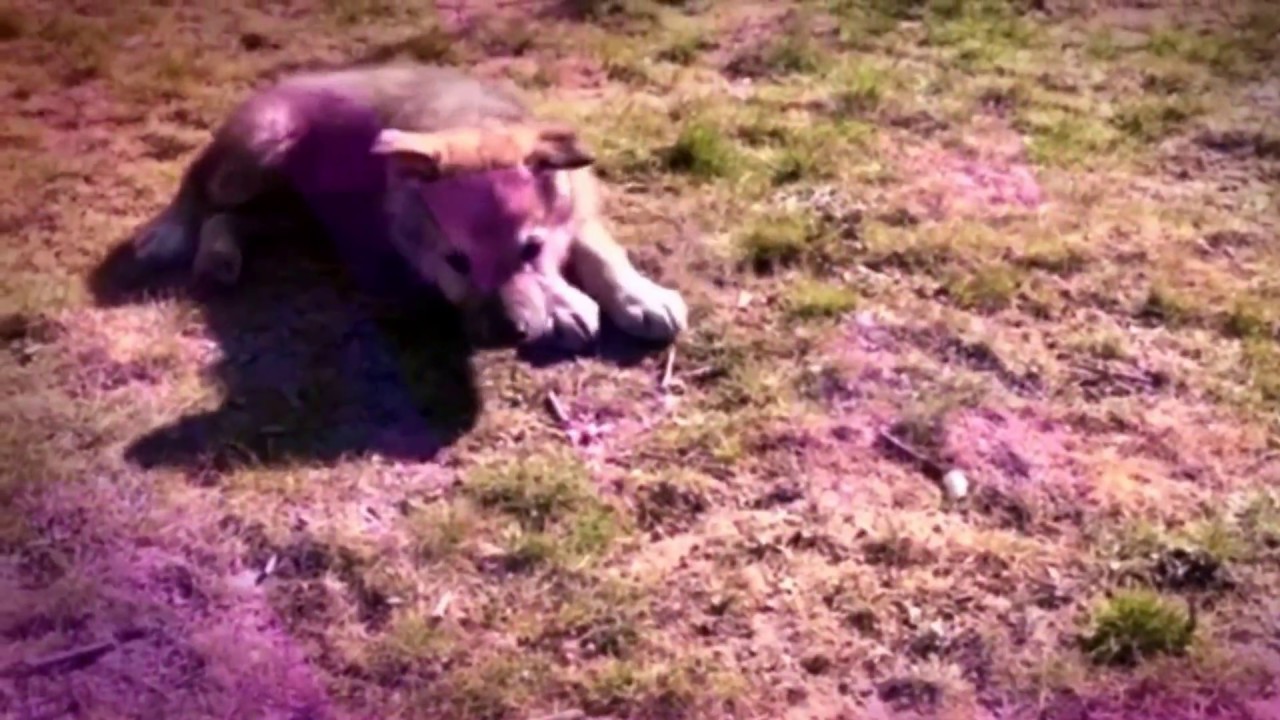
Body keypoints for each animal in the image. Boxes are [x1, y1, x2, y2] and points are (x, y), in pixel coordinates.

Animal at [127, 61, 688, 350]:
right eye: (455, 260)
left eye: (529, 249)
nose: (506, 335)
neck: (473, 123)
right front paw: (566, 303)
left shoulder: (579, 204)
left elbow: (598, 249)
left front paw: (636, 295)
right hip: (258, 147)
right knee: (198, 185)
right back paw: (170, 234)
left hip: (295, 215)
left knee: (230, 218)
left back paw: (219, 256)